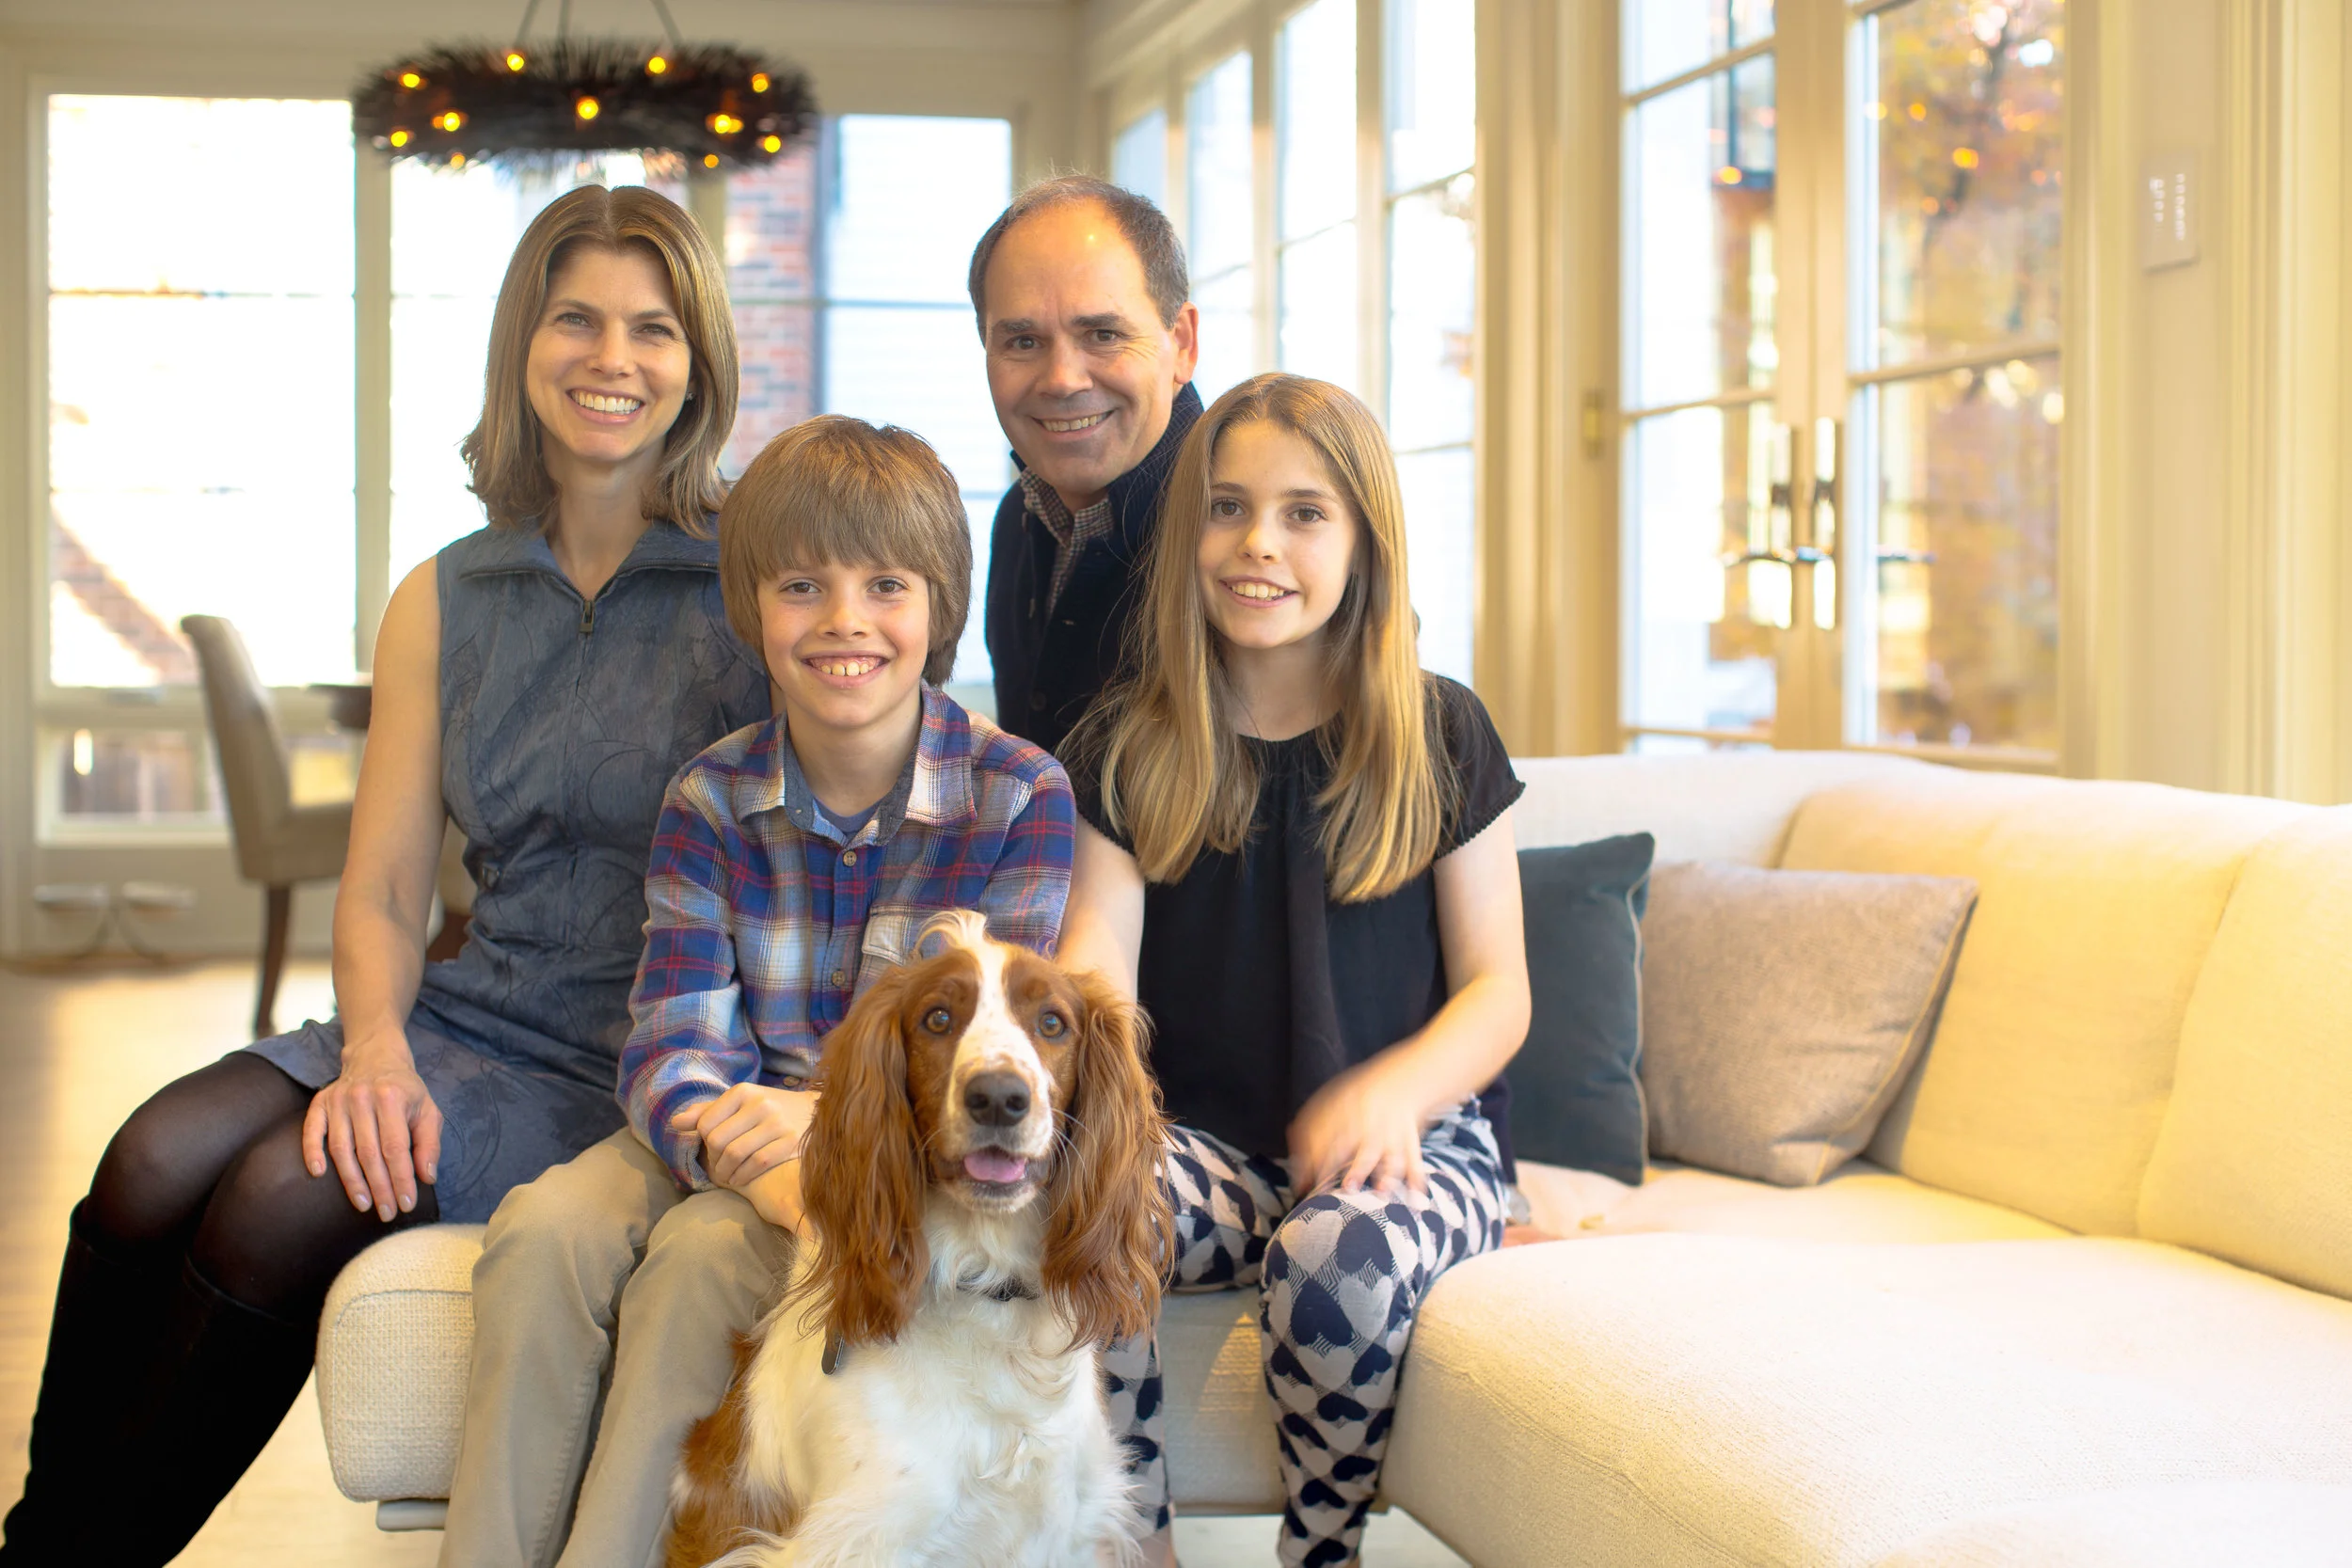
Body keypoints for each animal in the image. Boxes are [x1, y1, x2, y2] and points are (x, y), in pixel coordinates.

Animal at [663, 909, 1171, 1568]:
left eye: (1052, 1023)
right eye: (937, 1019)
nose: (999, 1098)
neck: (983, 1284)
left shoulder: (1070, 1529)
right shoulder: (859, 1538)